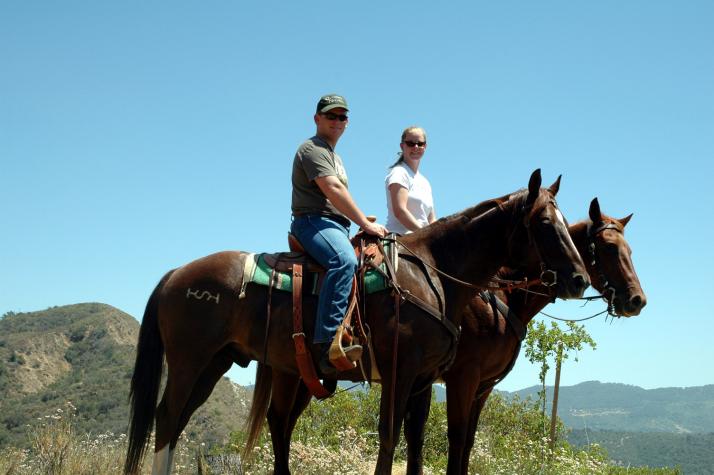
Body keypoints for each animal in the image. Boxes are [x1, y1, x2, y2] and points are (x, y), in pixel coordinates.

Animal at [124, 169, 588, 474]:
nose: (579, 279)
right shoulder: (403, 372)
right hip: (190, 361)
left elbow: (414, 442)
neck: (434, 272)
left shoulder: (423, 380)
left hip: (219, 363)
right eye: (545, 223)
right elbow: (390, 437)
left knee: (190, 421)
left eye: (570, 225)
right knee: (168, 418)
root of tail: (175, 274)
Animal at [400, 197, 644, 475]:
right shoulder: (463, 377)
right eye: (610, 248)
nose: (637, 300)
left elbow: (469, 440)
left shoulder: (483, 385)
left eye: (630, 251)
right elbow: (458, 438)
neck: (505, 297)